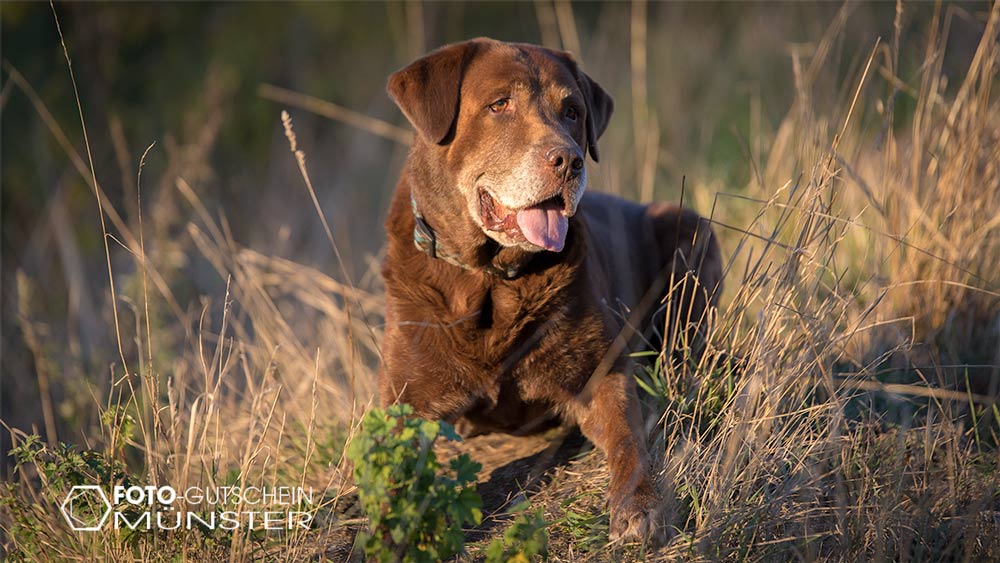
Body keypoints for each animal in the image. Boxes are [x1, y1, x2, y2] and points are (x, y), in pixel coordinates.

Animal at [380, 39, 720, 540]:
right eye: (499, 105)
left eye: (572, 111)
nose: (569, 161)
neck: (489, 279)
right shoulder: (405, 402)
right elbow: (389, 476)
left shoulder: (600, 374)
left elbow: (627, 438)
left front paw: (640, 505)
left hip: (688, 225)